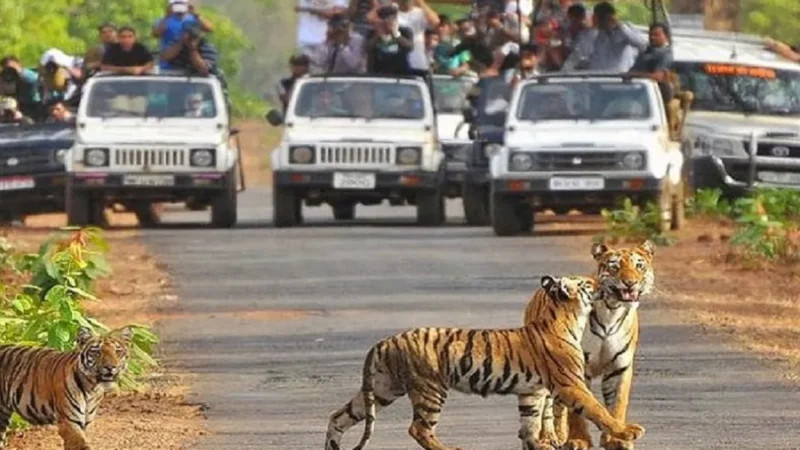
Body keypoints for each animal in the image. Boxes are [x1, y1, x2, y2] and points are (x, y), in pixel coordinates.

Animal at [0, 326, 133, 448]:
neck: (92, 388)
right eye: (96, 352)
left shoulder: (86, 423)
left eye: (118, 351)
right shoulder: (69, 422)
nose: (110, 367)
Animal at [324, 274, 644, 450]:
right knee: (419, 429)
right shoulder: (571, 384)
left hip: (382, 389)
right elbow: (598, 410)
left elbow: (530, 423)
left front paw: (538, 445)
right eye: (588, 283)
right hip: (430, 389)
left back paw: (332, 446)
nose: (603, 283)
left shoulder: (532, 392)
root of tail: (385, 341)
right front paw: (626, 431)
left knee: (338, 416)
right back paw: (451, 449)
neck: (568, 318)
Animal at [520, 241, 656, 450]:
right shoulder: (576, 367)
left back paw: (559, 435)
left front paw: (617, 440)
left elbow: (617, 404)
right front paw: (578, 440)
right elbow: (578, 411)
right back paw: (548, 438)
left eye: (639, 266)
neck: (612, 311)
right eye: (614, 266)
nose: (630, 282)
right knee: (547, 405)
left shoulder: (619, 366)